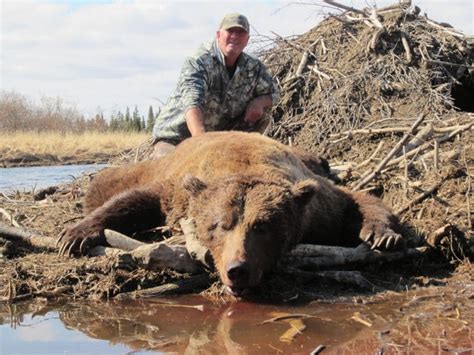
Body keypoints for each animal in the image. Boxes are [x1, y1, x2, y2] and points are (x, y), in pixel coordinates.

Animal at [55, 131, 404, 298]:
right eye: (219, 226)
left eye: (263, 227)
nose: (238, 270)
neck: (243, 164)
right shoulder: (175, 192)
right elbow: (136, 200)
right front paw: (75, 234)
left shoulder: (317, 205)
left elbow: (355, 201)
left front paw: (382, 233)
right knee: (105, 182)